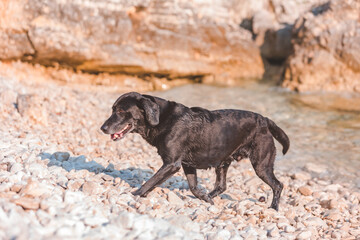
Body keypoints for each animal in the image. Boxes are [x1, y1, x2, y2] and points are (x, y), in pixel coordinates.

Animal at [100, 92, 290, 210]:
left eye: (121, 111)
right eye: (113, 109)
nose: (102, 128)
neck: (162, 118)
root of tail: (264, 120)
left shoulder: (172, 164)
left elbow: (150, 181)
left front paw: (135, 194)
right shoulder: (187, 164)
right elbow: (193, 187)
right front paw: (204, 197)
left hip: (261, 165)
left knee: (278, 185)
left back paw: (274, 208)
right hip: (223, 162)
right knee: (221, 186)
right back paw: (210, 196)